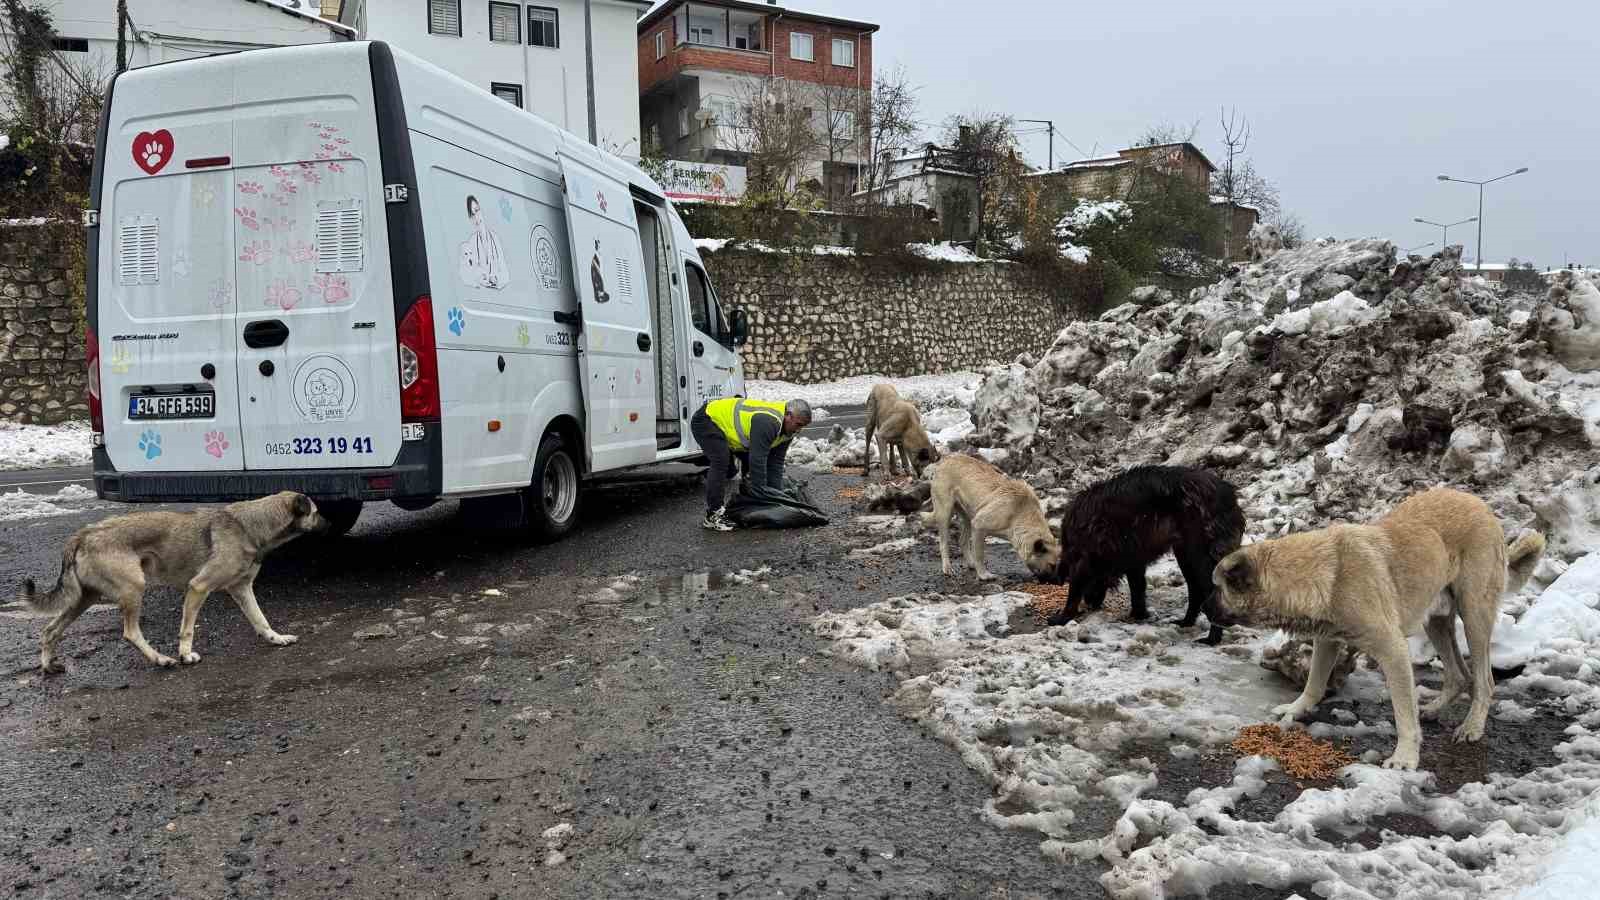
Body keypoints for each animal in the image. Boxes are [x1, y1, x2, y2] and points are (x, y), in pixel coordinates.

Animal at [928, 451, 1062, 576]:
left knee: (962, 540)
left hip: (968, 515)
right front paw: (983, 575)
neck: (1020, 513)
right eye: (1051, 565)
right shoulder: (979, 525)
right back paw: (947, 568)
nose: (1057, 582)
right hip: (945, 512)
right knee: (944, 543)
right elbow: (979, 554)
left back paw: (971, 564)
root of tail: (945, 459)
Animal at [1049, 461, 1248, 643]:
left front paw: (1061, 618)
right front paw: (1139, 615)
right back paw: (1186, 622)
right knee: (1195, 591)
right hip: (1185, 555)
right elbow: (1138, 591)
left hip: (1199, 556)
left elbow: (1074, 593)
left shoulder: (1084, 561)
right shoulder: (1134, 562)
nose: (1091, 604)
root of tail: (1228, 495)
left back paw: (1212, 638)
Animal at [1216, 486, 1542, 768]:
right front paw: (1296, 709)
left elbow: (1403, 713)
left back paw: (1472, 726)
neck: (1322, 572)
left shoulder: (1393, 651)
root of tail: (1480, 505)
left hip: (1474, 615)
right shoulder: (1327, 641)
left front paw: (1405, 757)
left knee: (1485, 680)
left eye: (1218, 588)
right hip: (1436, 620)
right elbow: (1314, 683)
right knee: (1459, 675)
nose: (1209, 611)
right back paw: (1434, 709)